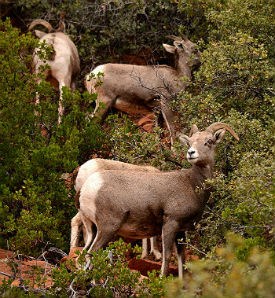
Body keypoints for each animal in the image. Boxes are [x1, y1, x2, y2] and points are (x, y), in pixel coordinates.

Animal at [77, 122, 239, 278]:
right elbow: (167, 256)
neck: (191, 183)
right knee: (91, 254)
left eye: (209, 141)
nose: (191, 153)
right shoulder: (170, 224)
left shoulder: (181, 231)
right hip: (107, 228)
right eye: (190, 142)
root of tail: (87, 188)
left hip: (93, 230)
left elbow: (181, 258)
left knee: (84, 254)